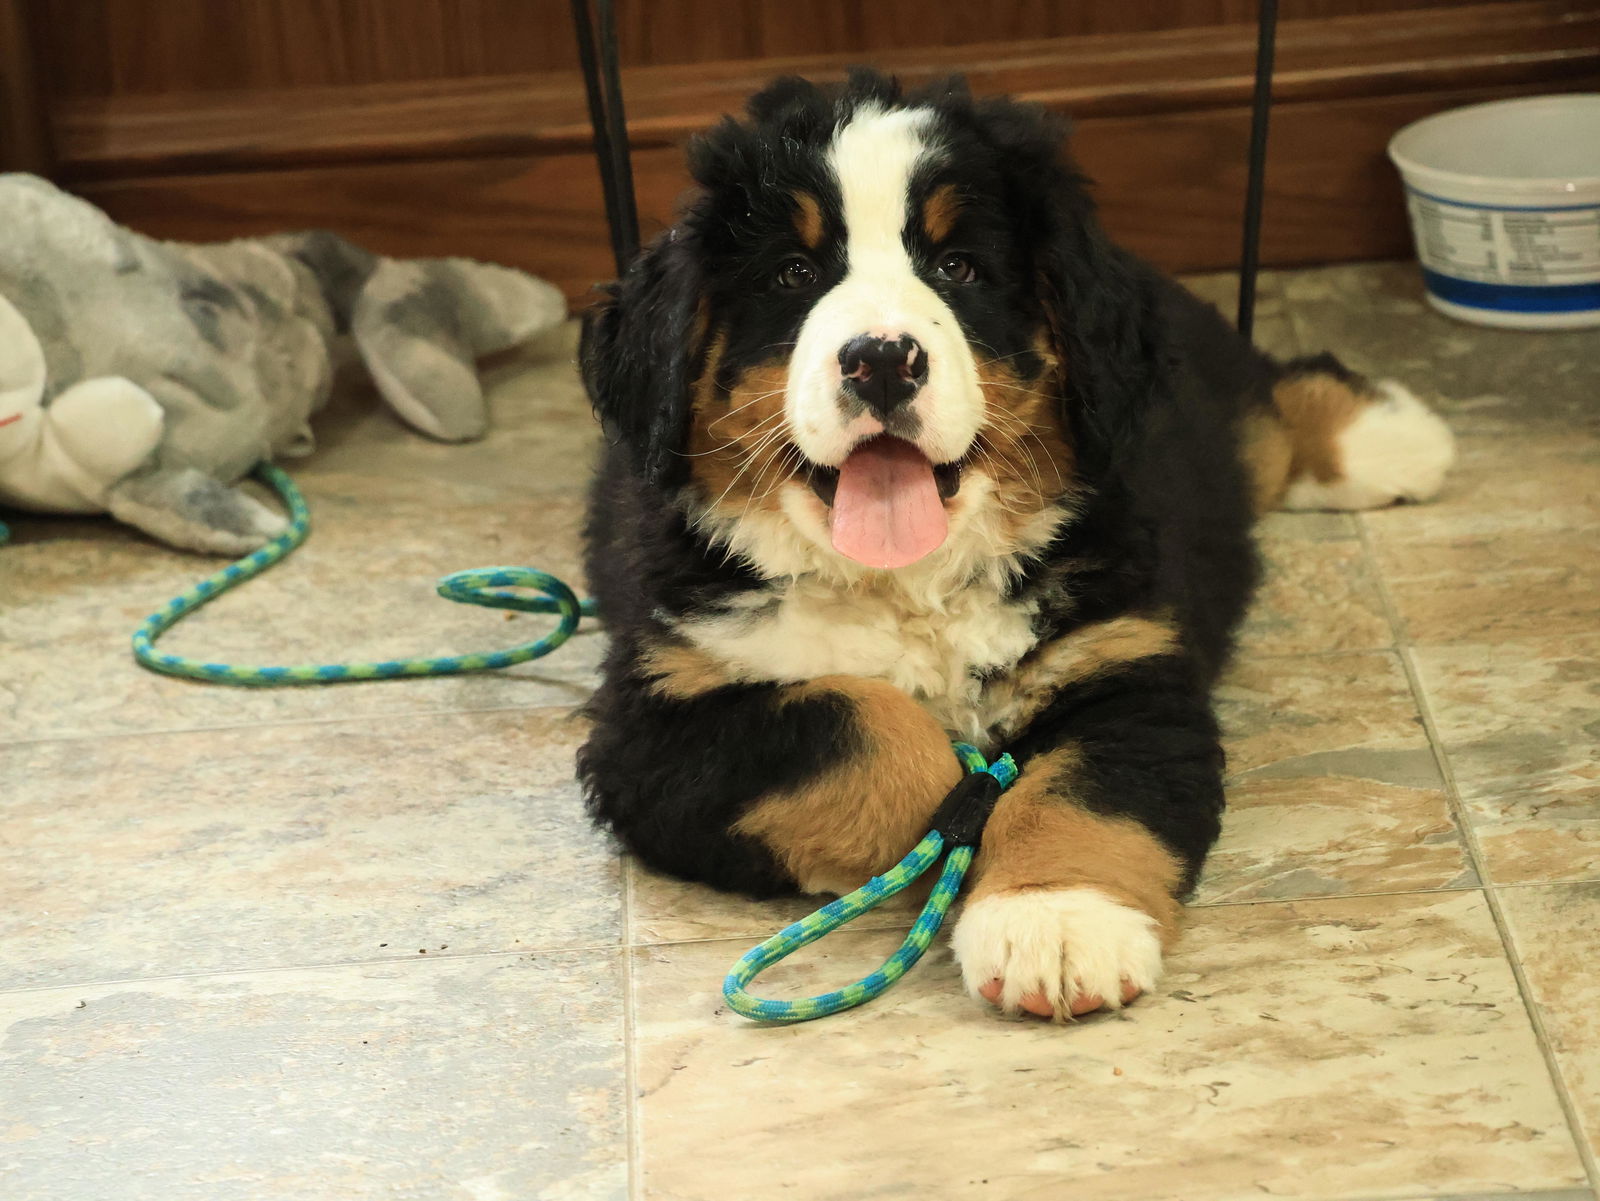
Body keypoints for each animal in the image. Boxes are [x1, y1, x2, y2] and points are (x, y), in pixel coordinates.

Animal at [576, 70, 1455, 1020]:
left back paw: (1394, 438)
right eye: (793, 273)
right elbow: (867, 728)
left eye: (957, 267)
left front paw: (1056, 920)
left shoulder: (1124, 661)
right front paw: (960, 816)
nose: (881, 359)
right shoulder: (659, 720)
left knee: (1264, 401)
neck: (909, 581)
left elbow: (1076, 791)